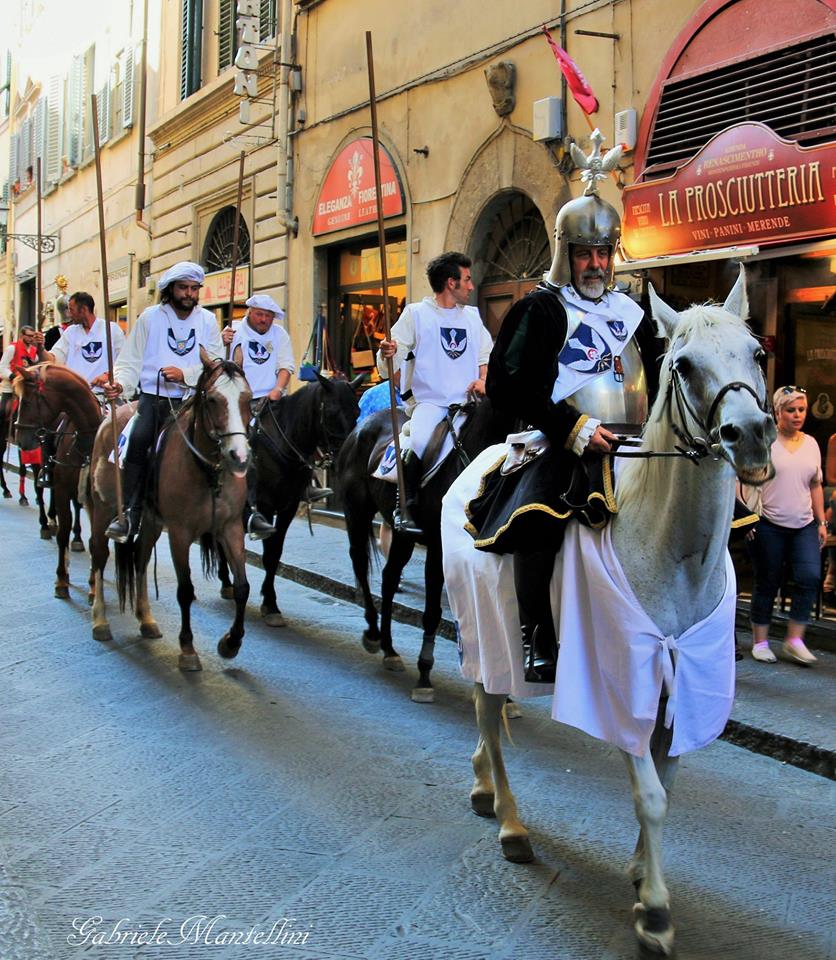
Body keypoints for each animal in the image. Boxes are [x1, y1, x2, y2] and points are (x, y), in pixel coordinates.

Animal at [114, 356, 251, 672]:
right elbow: (185, 589)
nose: (239, 457)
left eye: (248, 399)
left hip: (153, 521)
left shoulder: (231, 528)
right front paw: (187, 648)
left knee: (140, 558)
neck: (207, 471)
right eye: (213, 400)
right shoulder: (179, 533)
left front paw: (231, 643)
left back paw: (146, 619)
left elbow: (242, 587)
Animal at [440, 266, 772, 956]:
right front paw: (655, 911)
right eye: (683, 364)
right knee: (488, 713)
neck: (668, 547)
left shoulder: (682, 682)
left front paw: (643, 872)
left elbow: (669, 785)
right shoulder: (625, 682)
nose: (751, 437)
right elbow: (650, 794)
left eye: (756, 354)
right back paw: (510, 822)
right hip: (487, 634)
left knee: (490, 721)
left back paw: (483, 786)